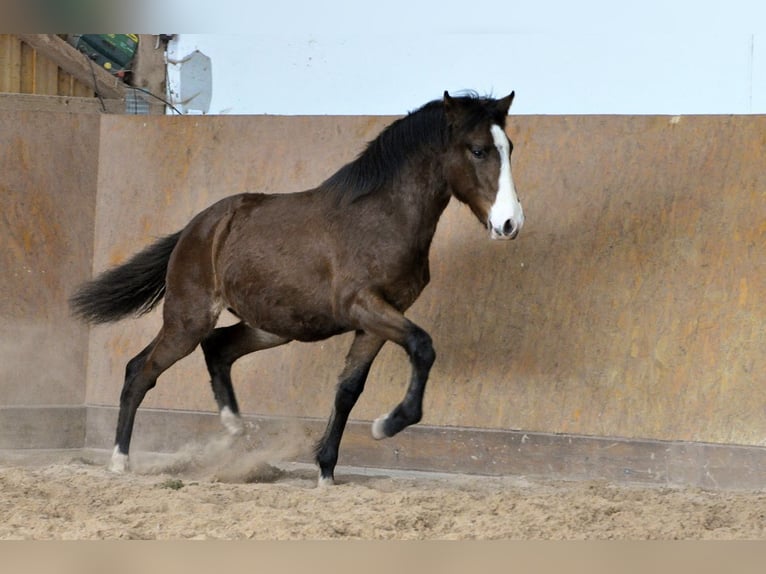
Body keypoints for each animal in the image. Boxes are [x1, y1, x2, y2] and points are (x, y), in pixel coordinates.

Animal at [72, 92, 524, 488]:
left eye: (510, 148)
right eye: (478, 150)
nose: (510, 224)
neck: (382, 217)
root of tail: (197, 227)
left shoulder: (378, 319)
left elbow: (349, 390)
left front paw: (326, 471)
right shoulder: (364, 306)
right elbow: (422, 345)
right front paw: (387, 425)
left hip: (271, 326)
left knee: (217, 349)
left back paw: (234, 426)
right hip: (189, 319)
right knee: (141, 370)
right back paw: (120, 461)